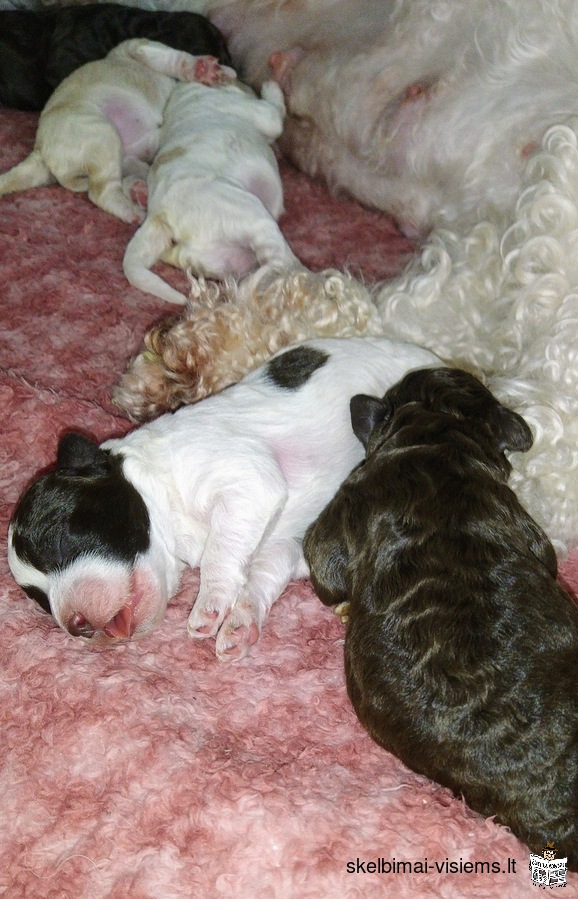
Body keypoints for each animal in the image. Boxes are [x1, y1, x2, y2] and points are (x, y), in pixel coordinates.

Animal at [0, 39, 236, 225]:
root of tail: (40, 149)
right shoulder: (139, 47)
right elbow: (172, 57)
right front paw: (201, 68)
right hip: (102, 135)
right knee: (100, 192)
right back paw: (132, 210)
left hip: (119, 156)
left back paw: (138, 190)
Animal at [6, 338, 438, 660]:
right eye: (40, 601)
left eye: (61, 539)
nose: (75, 627)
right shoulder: (285, 543)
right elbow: (261, 572)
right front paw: (241, 624)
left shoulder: (248, 478)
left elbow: (221, 550)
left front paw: (210, 604)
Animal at [123, 75, 300, 306]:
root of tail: (159, 213)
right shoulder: (264, 114)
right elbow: (275, 113)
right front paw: (271, 86)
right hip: (248, 211)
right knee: (277, 259)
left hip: (219, 255)